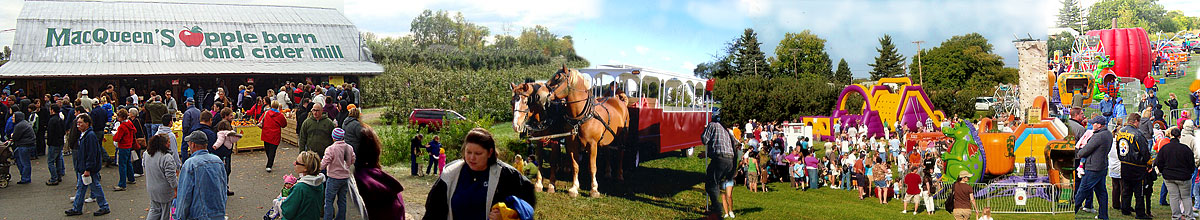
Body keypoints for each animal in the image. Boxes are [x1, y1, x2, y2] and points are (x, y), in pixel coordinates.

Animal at [549, 65, 633, 197]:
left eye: (557, 78)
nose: (540, 93)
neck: (581, 116)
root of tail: (621, 101)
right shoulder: (572, 143)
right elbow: (575, 165)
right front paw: (574, 188)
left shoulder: (592, 144)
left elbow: (592, 166)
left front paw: (594, 189)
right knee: (608, 152)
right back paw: (608, 172)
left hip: (622, 137)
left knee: (620, 153)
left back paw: (619, 175)